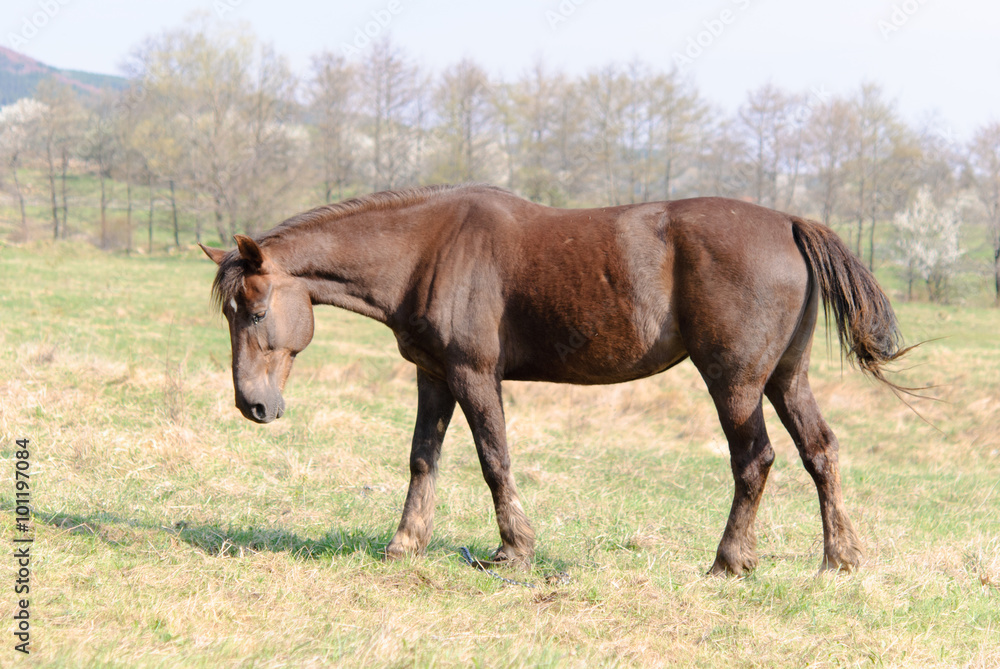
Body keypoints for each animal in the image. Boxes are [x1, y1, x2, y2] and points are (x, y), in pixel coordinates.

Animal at [199, 181, 912, 576]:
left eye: (255, 311)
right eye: (228, 313)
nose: (252, 405)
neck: (428, 249)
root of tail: (789, 223)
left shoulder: (474, 375)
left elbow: (494, 459)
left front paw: (514, 550)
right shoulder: (434, 377)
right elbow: (423, 459)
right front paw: (405, 544)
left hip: (734, 381)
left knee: (755, 460)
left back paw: (729, 561)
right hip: (785, 377)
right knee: (820, 452)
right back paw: (839, 558)